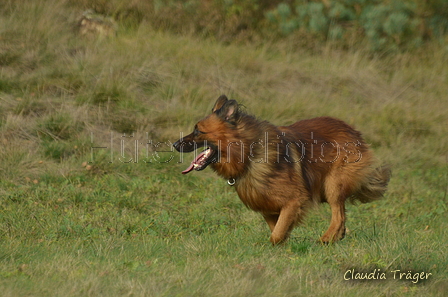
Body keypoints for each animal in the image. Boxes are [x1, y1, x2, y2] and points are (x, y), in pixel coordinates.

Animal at [173, 95, 390, 243]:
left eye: (197, 130)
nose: (174, 145)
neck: (249, 155)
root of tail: (352, 130)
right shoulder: (267, 206)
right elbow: (277, 229)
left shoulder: (294, 200)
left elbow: (276, 234)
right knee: (342, 216)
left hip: (333, 185)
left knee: (338, 215)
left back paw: (326, 239)